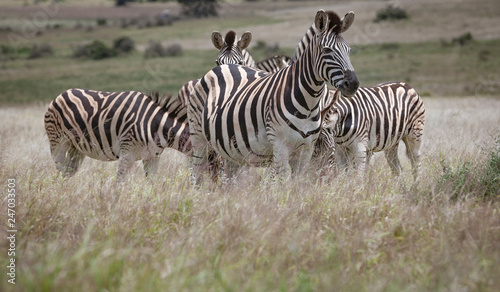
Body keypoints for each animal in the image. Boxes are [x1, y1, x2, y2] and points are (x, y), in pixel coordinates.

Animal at [44, 89, 191, 179]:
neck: (155, 124)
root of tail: (60, 95)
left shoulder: (152, 156)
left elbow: (152, 182)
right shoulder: (127, 152)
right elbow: (120, 182)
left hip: (76, 148)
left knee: (68, 172)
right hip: (58, 142)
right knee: (61, 170)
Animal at [188, 10, 360, 184]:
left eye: (349, 50)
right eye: (327, 50)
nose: (353, 84)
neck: (308, 104)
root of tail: (223, 68)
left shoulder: (305, 149)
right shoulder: (279, 146)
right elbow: (281, 183)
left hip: (229, 148)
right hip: (199, 139)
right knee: (197, 174)